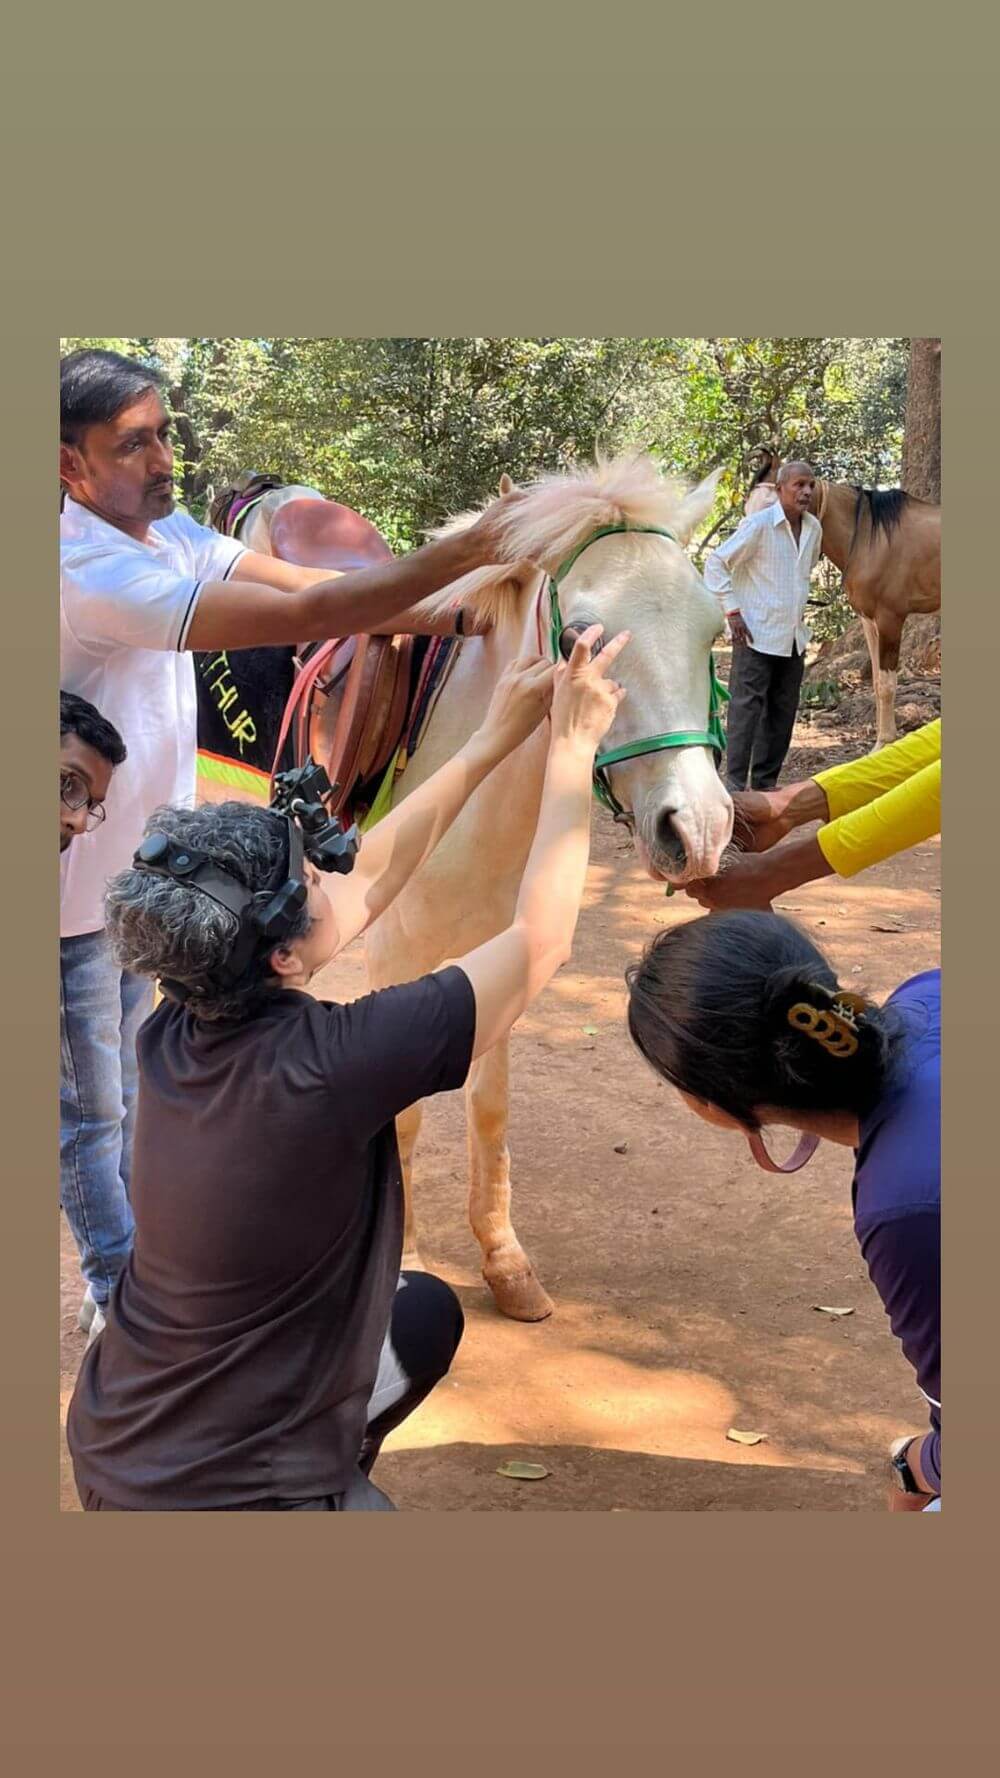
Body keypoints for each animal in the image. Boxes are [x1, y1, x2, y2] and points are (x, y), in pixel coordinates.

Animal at [217, 458, 733, 1322]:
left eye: (713, 629)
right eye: (579, 637)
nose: (696, 830)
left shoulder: (504, 947)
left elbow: (489, 1107)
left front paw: (504, 1261)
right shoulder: (398, 955)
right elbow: (403, 1116)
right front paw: (400, 1262)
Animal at [750, 451, 939, 750]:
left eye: (771, 506)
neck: (871, 538)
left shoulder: (891, 619)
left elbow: (888, 683)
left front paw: (886, 742)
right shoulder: (869, 619)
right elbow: (877, 682)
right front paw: (881, 743)